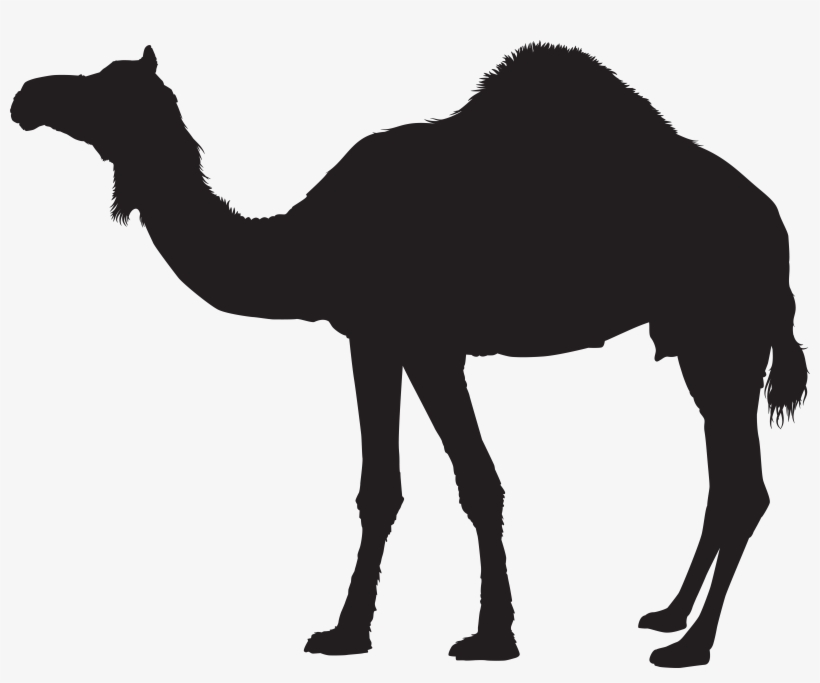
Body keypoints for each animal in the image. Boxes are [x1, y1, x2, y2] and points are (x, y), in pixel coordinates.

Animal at [10, 43, 807, 668]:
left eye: (107, 88)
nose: (26, 97)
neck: (312, 240)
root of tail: (777, 230)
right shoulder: (373, 339)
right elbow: (379, 489)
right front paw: (346, 633)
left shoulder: (430, 342)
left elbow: (478, 482)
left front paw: (491, 637)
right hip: (697, 344)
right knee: (724, 478)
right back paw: (668, 614)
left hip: (724, 332)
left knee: (745, 487)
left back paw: (691, 646)